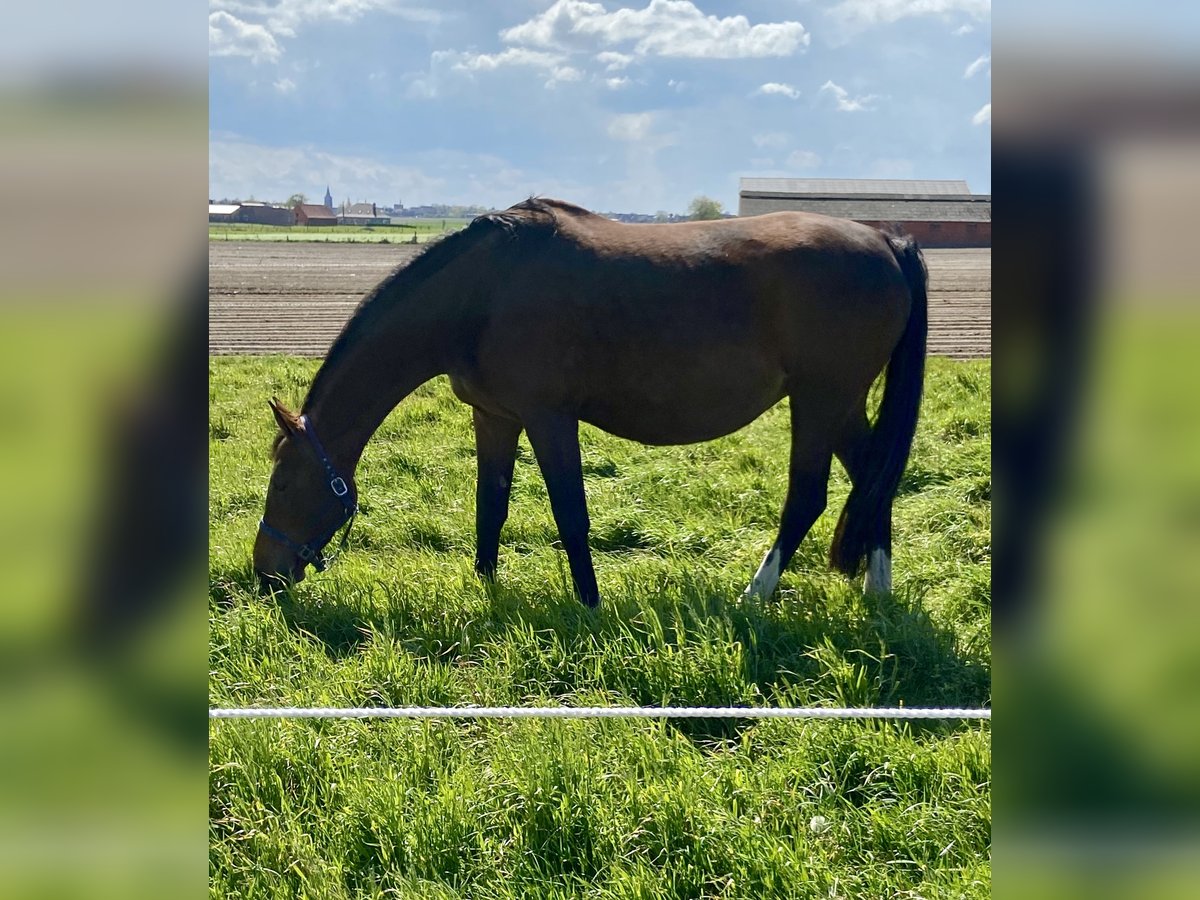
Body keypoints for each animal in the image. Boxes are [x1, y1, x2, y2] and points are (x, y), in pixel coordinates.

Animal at [253, 196, 926, 607]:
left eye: (283, 483)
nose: (263, 574)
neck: (482, 293)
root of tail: (886, 241)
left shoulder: (549, 419)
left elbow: (570, 514)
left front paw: (589, 602)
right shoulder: (494, 417)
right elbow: (490, 506)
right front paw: (485, 585)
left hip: (820, 401)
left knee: (808, 497)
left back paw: (754, 596)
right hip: (842, 405)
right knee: (874, 483)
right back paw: (878, 594)